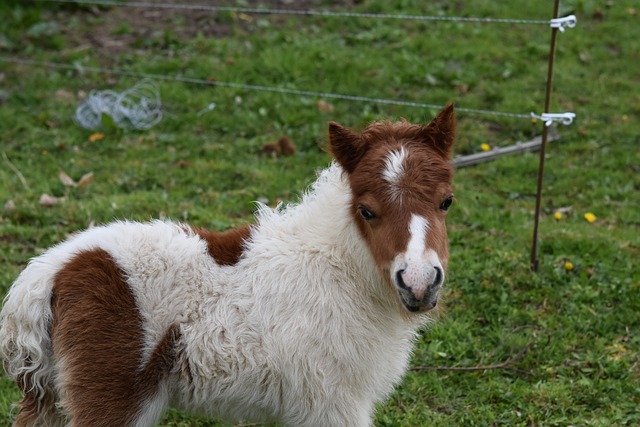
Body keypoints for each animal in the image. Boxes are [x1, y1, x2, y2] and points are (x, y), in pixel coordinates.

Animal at [2, 104, 458, 427]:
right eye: (366, 211)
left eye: (446, 201)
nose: (419, 283)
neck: (339, 270)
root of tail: (48, 273)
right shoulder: (333, 402)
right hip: (109, 398)